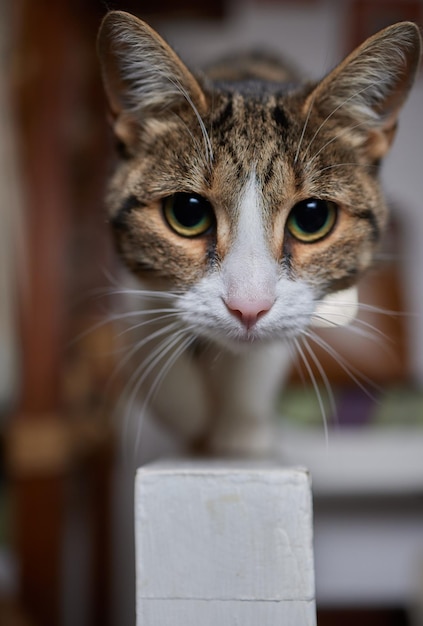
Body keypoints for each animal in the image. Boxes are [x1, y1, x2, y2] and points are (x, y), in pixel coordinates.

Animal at [97, 11, 423, 454]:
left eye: (312, 218)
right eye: (187, 212)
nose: (248, 308)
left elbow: (261, 358)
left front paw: (241, 430)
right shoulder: (134, 284)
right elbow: (148, 336)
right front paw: (192, 413)